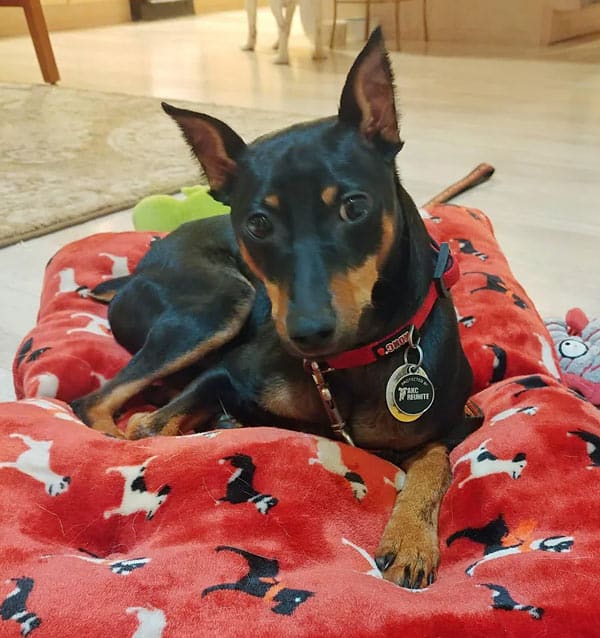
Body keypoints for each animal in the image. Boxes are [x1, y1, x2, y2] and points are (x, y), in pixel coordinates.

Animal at [71, 28, 482, 592]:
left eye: (355, 206)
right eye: (258, 223)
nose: (308, 333)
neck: (352, 359)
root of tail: (133, 271)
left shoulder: (448, 426)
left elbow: (435, 464)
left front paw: (409, 542)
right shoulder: (224, 373)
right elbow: (155, 427)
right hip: (223, 303)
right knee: (97, 405)